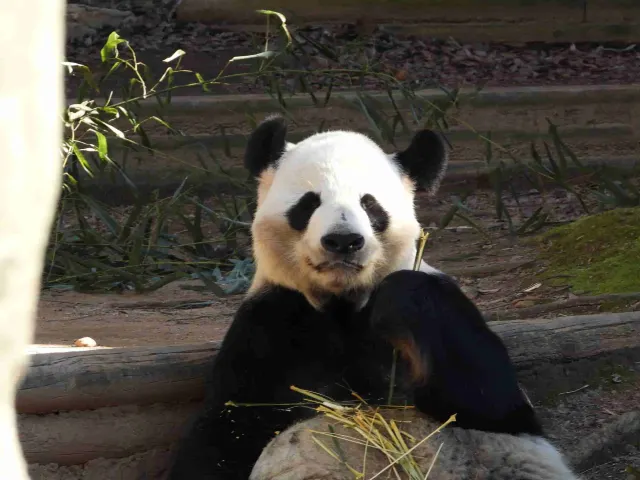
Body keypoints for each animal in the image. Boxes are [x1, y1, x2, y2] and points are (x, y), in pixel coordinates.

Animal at [168, 116, 576, 480]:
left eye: (370, 205)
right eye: (308, 204)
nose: (343, 240)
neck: (343, 303)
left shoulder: (448, 308)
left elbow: (488, 401)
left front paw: (395, 301)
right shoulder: (271, 324)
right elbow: (225, 433)